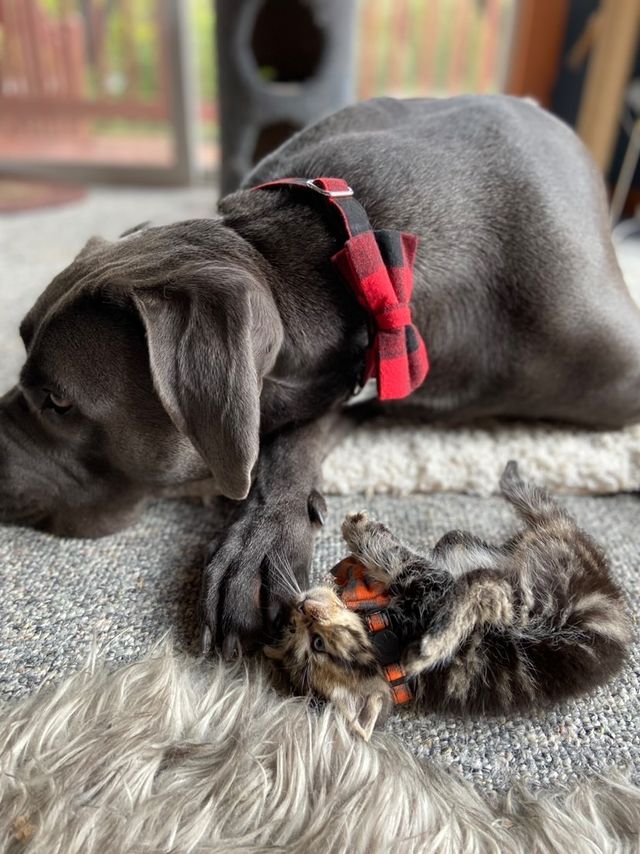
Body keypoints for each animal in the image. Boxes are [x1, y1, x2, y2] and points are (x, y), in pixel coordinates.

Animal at [264, 464, 632, 740]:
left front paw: (358, 555)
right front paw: (359, 529)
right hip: (531, 600)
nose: (301, 607)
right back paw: (432, 643)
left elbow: (390, 562)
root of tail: (608, 593)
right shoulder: (430, 587)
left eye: (306, 635)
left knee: (468, 543)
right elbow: (399, 558)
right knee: (481, 584)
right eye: (316, 643)